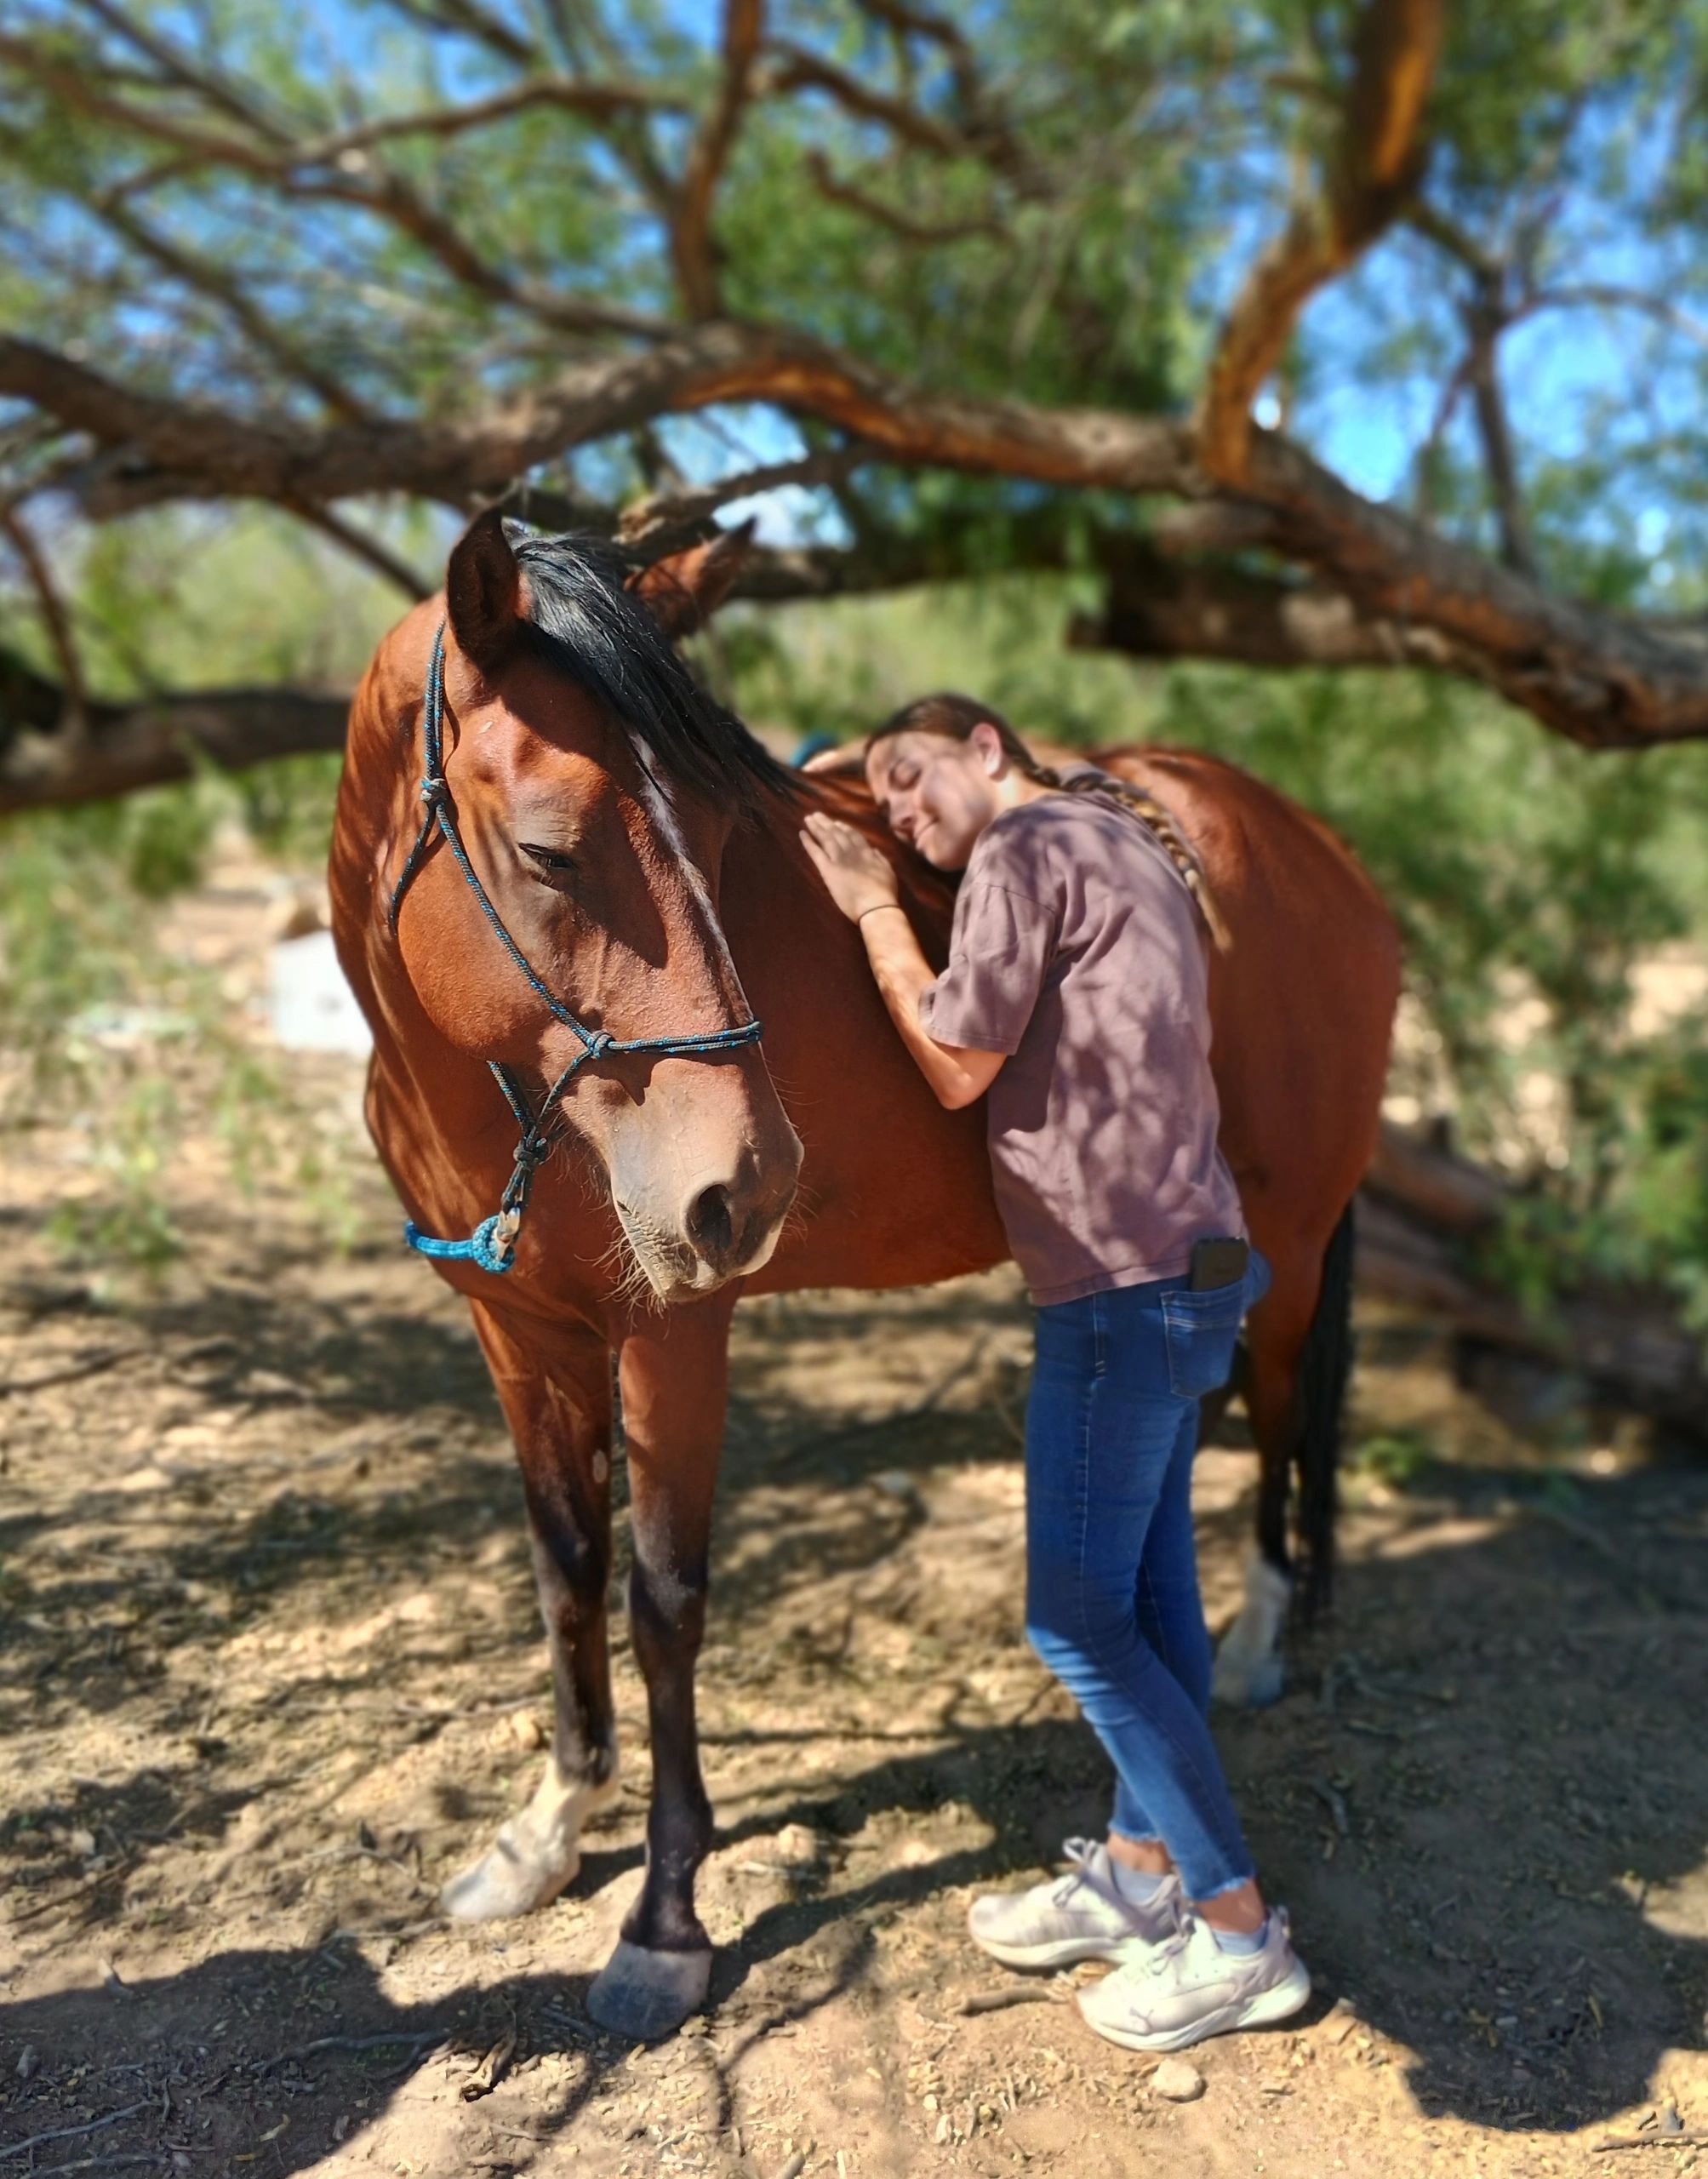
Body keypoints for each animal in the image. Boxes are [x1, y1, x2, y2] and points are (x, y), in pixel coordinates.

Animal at [328, 512, 1401, 2042]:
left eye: (725, 838)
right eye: (548, 849)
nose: (748, 1183)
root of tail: (1318, 853)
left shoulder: (672, 1335)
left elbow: (663, 1602)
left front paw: (663, 1920)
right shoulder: (516, 1335)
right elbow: (564, 1571)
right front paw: (544, 1832)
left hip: (1292, 1241)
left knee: (1268, 1408)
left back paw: (1254, 1638)